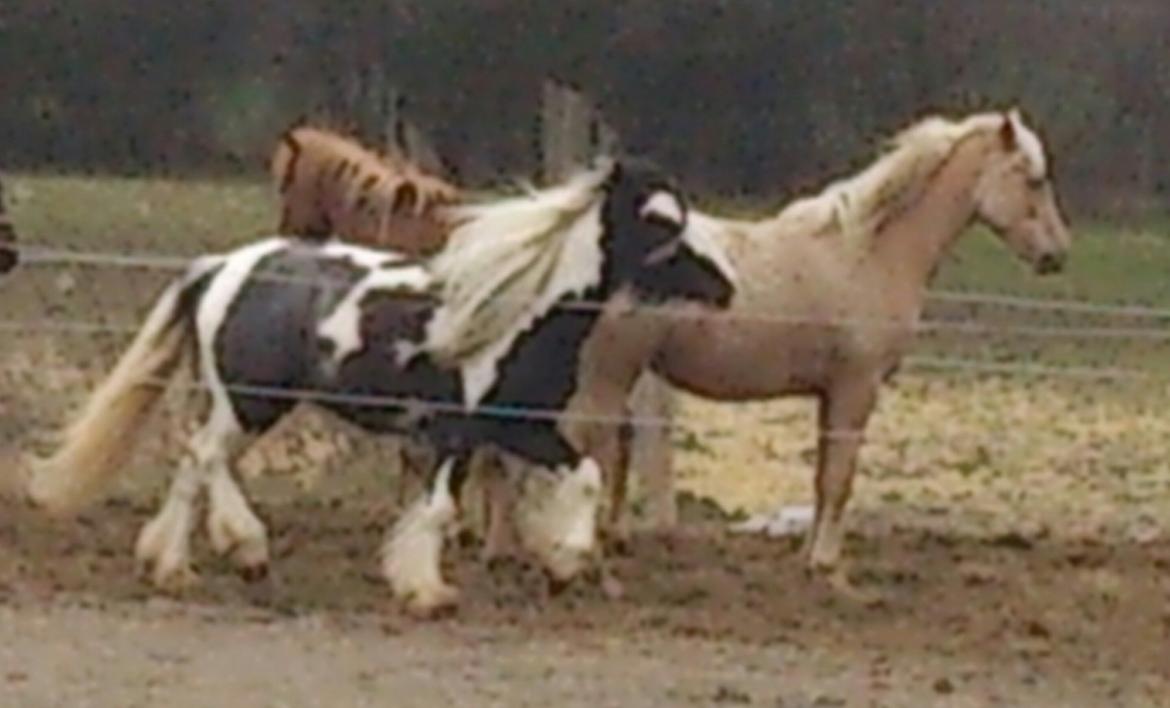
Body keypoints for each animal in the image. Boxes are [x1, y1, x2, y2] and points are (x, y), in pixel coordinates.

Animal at [32, 159, 734, 613]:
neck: (517, 310)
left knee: (194, 464)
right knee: (205, 459)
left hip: (239, 406)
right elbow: (439, 509)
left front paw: (563, 567)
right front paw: (426, 590)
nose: (727, 285)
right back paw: (247, 550)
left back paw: (173, 568)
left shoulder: (522, 426)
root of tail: (221, 266)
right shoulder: (455, 429)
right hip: (252, 402)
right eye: (659, 221)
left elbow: (585, 475)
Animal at [613, 107, 1071, 587]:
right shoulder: (857, 388)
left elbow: (822, 479)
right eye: (1033, 178)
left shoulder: (829, 394)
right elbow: (839, 479)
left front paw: (807, 557)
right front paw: (825, 562)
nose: (1057, 254)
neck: (870, 251)